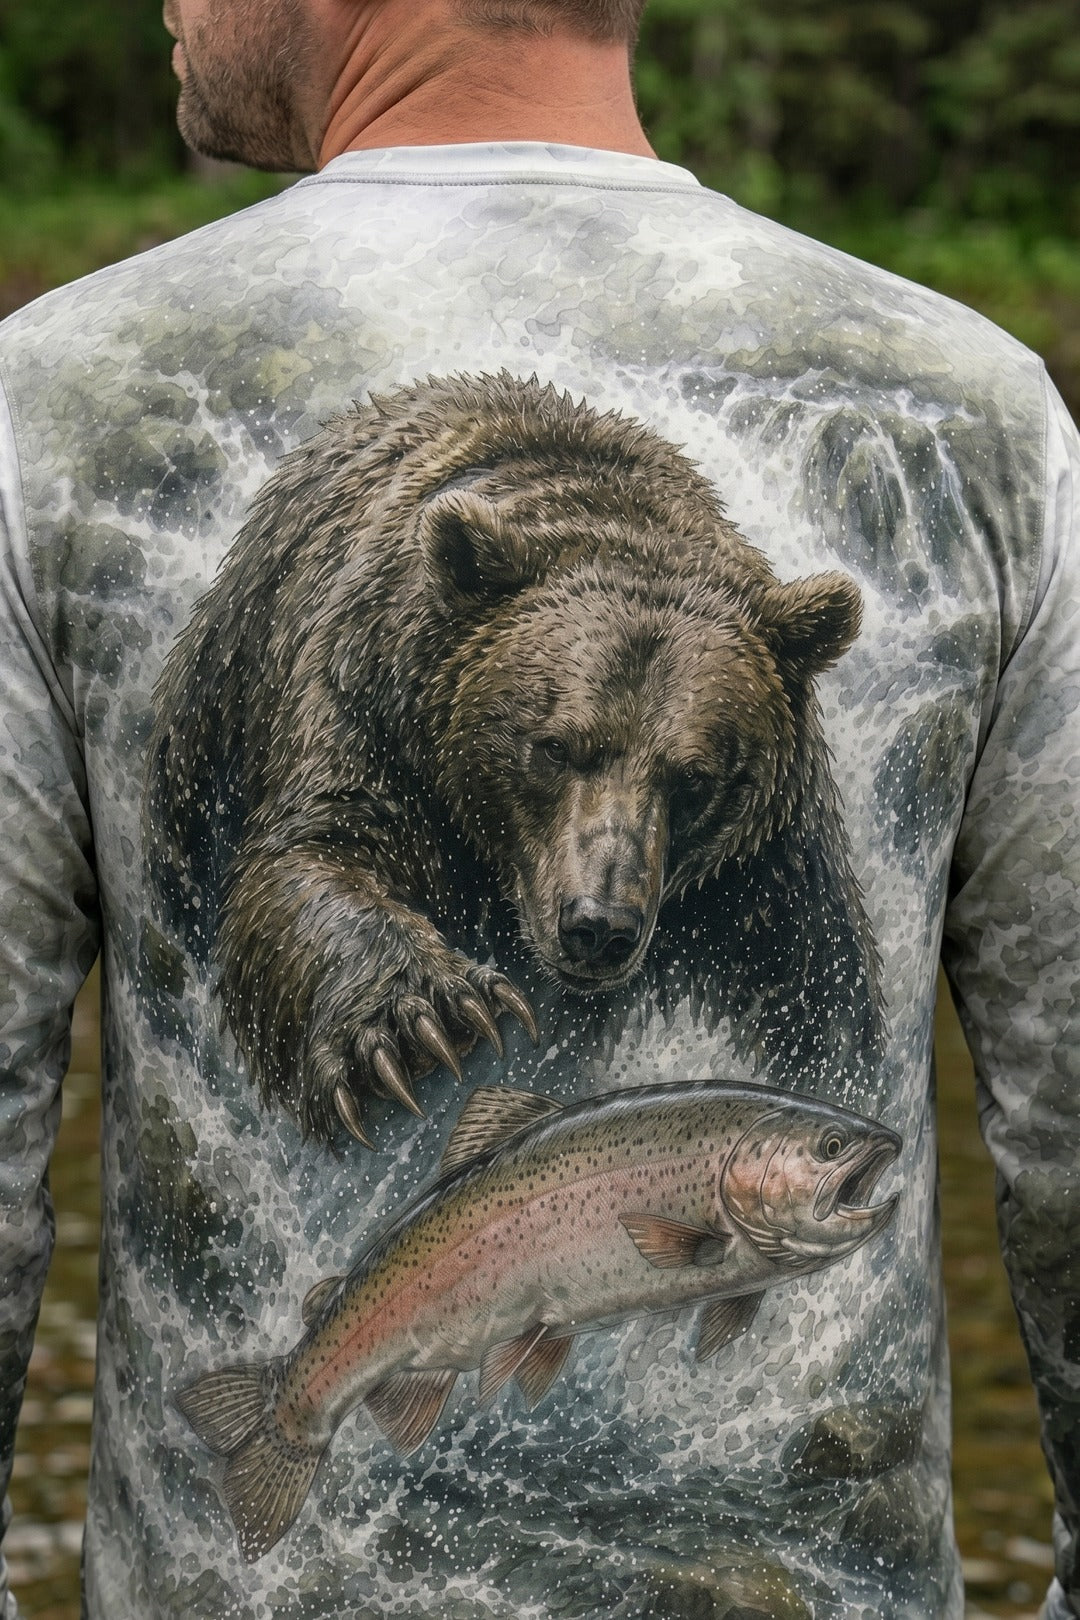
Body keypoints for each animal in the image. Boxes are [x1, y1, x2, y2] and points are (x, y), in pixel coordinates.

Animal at [144, 372, 884, 1145]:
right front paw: (423, 1021)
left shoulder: (760, 874)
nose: (599, 927)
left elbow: (813, 996)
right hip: (209, 737)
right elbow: (316, 850)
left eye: (694, 778)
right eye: (555, 746)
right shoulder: (370, 706)